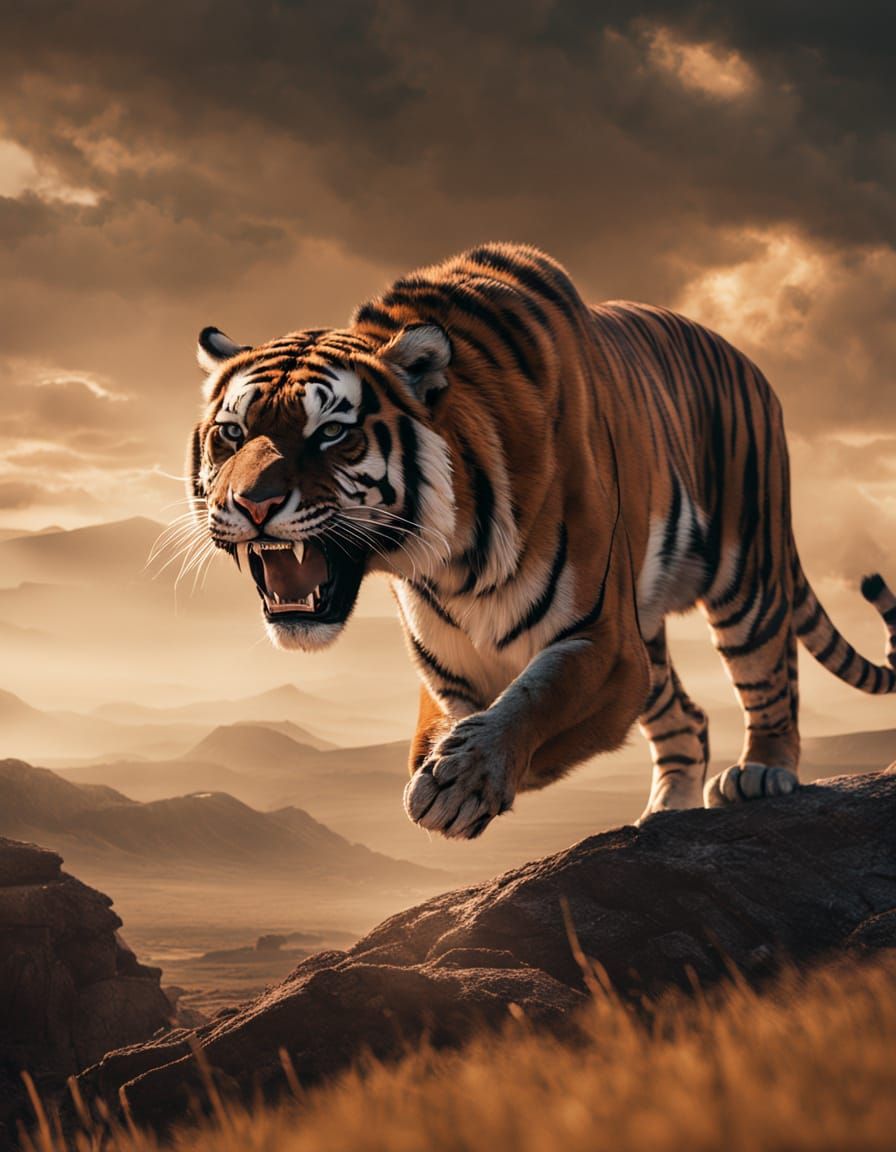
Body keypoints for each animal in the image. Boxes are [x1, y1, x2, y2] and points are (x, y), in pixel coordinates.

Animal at [188, 242, 896, 839]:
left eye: (331, 433)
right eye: (232, 433)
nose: (250, 503)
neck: (452, 559)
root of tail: (747, 360)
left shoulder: (602, 643)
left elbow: (533, 698)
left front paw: (458, 784)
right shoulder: (456, 667)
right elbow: (452, 723)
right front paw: (442, 772)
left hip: (746, 575)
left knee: (770, 672)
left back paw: (763, 771)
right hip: (650, 632)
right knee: (687, 720)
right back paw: (666, 815)